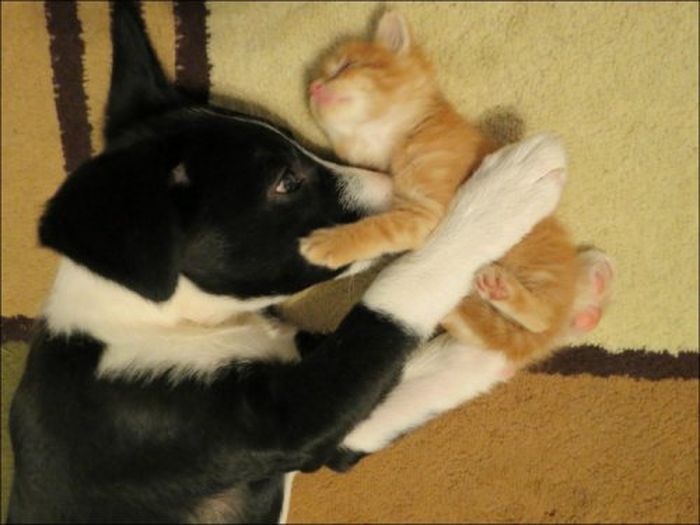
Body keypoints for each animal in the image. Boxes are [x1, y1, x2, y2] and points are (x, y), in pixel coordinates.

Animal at [7, 4, 566, 523]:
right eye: (286, 182)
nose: (392, 185)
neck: (149, 321)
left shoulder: (331, 434)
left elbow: (437, 372)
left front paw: (524, 331)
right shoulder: (292, 419)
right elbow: (397, 297)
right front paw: (505, 192)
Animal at [299, 11, 614, 368]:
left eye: (345, 66)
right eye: (316, 82)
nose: (314, 87)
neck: (404, 135)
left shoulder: (428, 213)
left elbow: (377, 228)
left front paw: (329, 244)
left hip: (537, 270)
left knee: (543, 319)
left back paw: (505, 290)